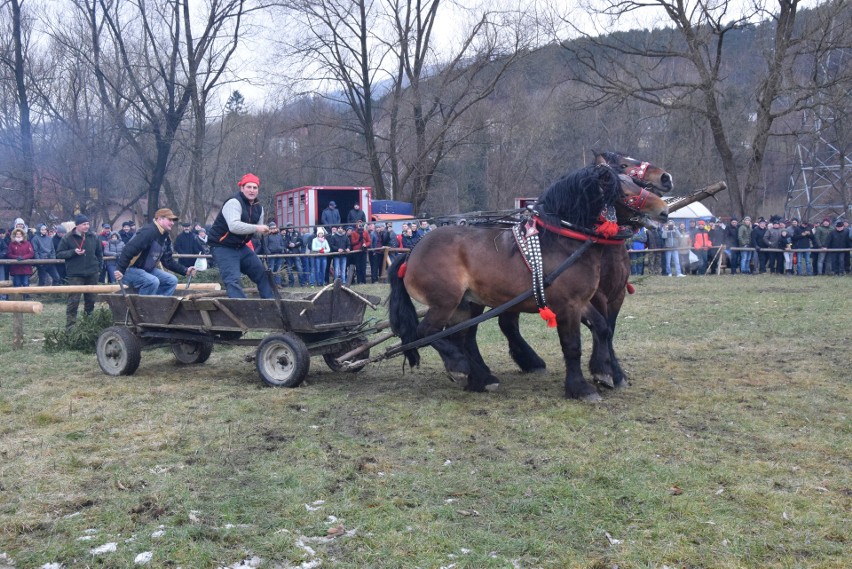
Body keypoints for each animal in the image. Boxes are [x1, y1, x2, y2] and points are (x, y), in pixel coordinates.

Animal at [390, 162, 668, 400]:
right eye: (623, 190)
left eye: (635, 182)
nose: (664, 210)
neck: (562, 242)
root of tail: (413, 250)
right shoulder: (568, 305)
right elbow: (572, 345)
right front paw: (581, 388)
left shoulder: (581, 301)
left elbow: (602, 327)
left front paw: (605, 372)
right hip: (445, 302)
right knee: (425, 333)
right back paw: (459, 365)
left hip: (465, 304)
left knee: (460, 336)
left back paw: (480, 378)